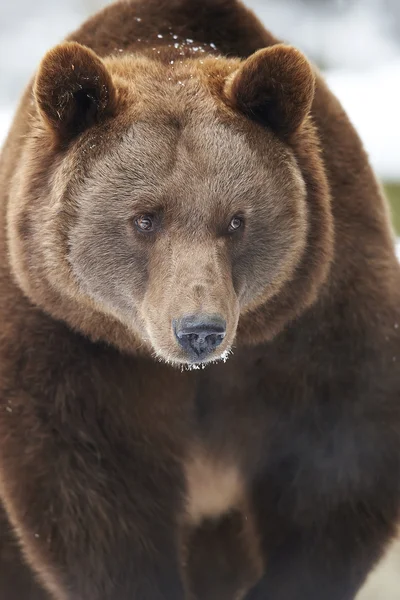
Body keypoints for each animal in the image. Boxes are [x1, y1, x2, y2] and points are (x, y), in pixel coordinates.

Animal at [0, 0, 400, 596]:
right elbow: (94, 488)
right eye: (145, 218)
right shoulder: (68, 334)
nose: (199, 331)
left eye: (235, 220)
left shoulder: (318, 316)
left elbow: (338, 463)